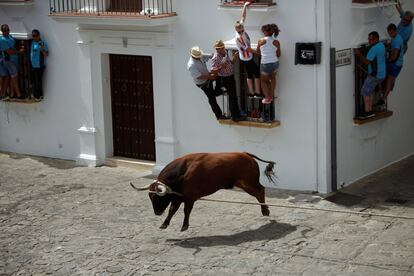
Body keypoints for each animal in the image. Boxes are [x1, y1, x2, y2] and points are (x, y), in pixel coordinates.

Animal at [131, 152, 276, 232]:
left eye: (158, 197)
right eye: (150, 197)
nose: (157, 213)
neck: (182, 172)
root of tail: (245, 154)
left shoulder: (190, 198)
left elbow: (186, 211)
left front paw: (184, 226)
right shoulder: (178, 197)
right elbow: (172, 210)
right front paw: (164, 224)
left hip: (248, 182)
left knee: (260, 191)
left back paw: (265, 210)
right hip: (243, 183)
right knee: (259, 192)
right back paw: (265, 210)